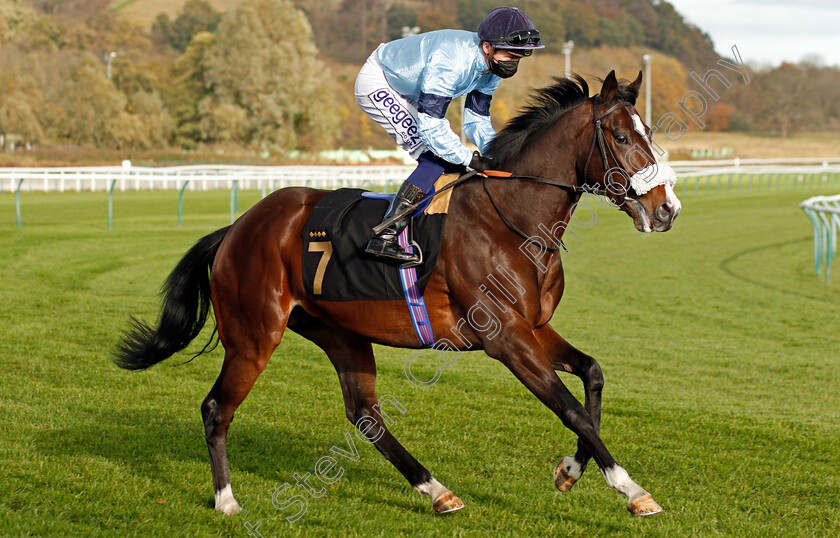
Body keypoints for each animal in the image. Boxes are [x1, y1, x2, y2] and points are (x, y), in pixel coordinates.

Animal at [115, 70, 684, 516]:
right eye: (620, 136)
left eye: (649, 133)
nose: (667, 209)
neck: (513, 221)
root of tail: (236, 228)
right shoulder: (505, 338)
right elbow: (569, 407)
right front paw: (632, 489)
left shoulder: (534, 328)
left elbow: (592, 376)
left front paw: (570, 470)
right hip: (254, 334)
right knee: (217, 408)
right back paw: (227, 500)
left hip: (341, 333)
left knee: (365, 414)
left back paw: (437, 490)